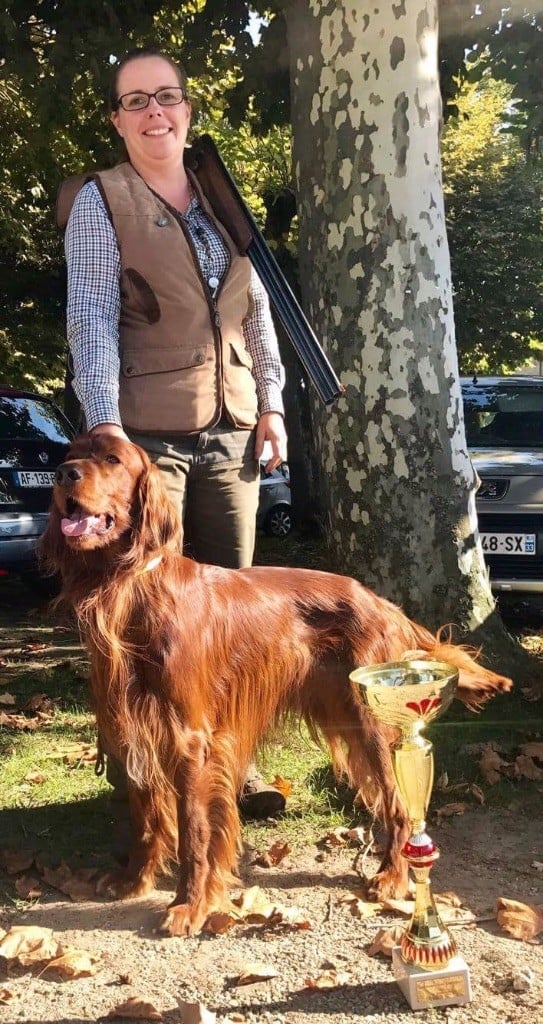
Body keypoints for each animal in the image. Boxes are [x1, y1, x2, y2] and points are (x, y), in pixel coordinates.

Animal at [40, 432, 510, 937]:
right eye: (71, 452)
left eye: (112, 459)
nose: (62, 474)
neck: (131, 589)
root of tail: (381, 602)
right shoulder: (134, 727)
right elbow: (146, 816)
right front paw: (135, 880)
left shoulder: (189, 738)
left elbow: (194, 831)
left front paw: (190, 905)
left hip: (373, 725)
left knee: (401, 807)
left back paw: (391, 879)